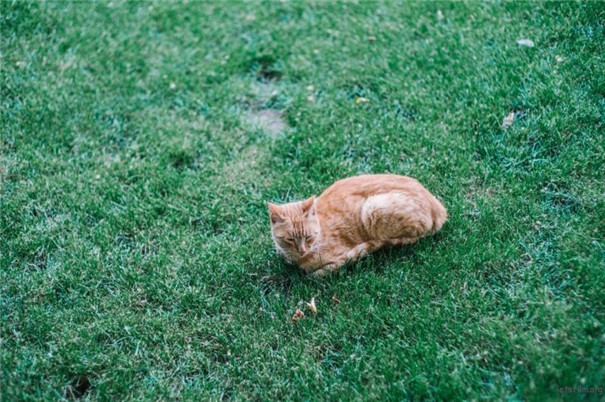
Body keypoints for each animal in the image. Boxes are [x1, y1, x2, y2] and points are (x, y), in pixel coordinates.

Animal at [266, 174, 446, 278]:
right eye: (290, 239)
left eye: (308, 237)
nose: (302, 250)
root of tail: (439, 208)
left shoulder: (338, 258)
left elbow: (319, 273)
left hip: (373, 208)